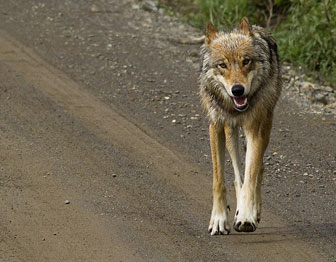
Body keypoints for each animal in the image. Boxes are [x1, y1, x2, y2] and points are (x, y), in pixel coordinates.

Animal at [201, 16, 282, 233]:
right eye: (222, 65)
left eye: (246, 61)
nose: (237, 90)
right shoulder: (216, 126)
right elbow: (219, 180)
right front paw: (219, 219)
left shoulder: (254, 130)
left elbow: (251, 175)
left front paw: (246, 216)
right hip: (230, 133)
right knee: (238, 176)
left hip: (266, 126)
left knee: (258, 171)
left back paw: (252, 212)